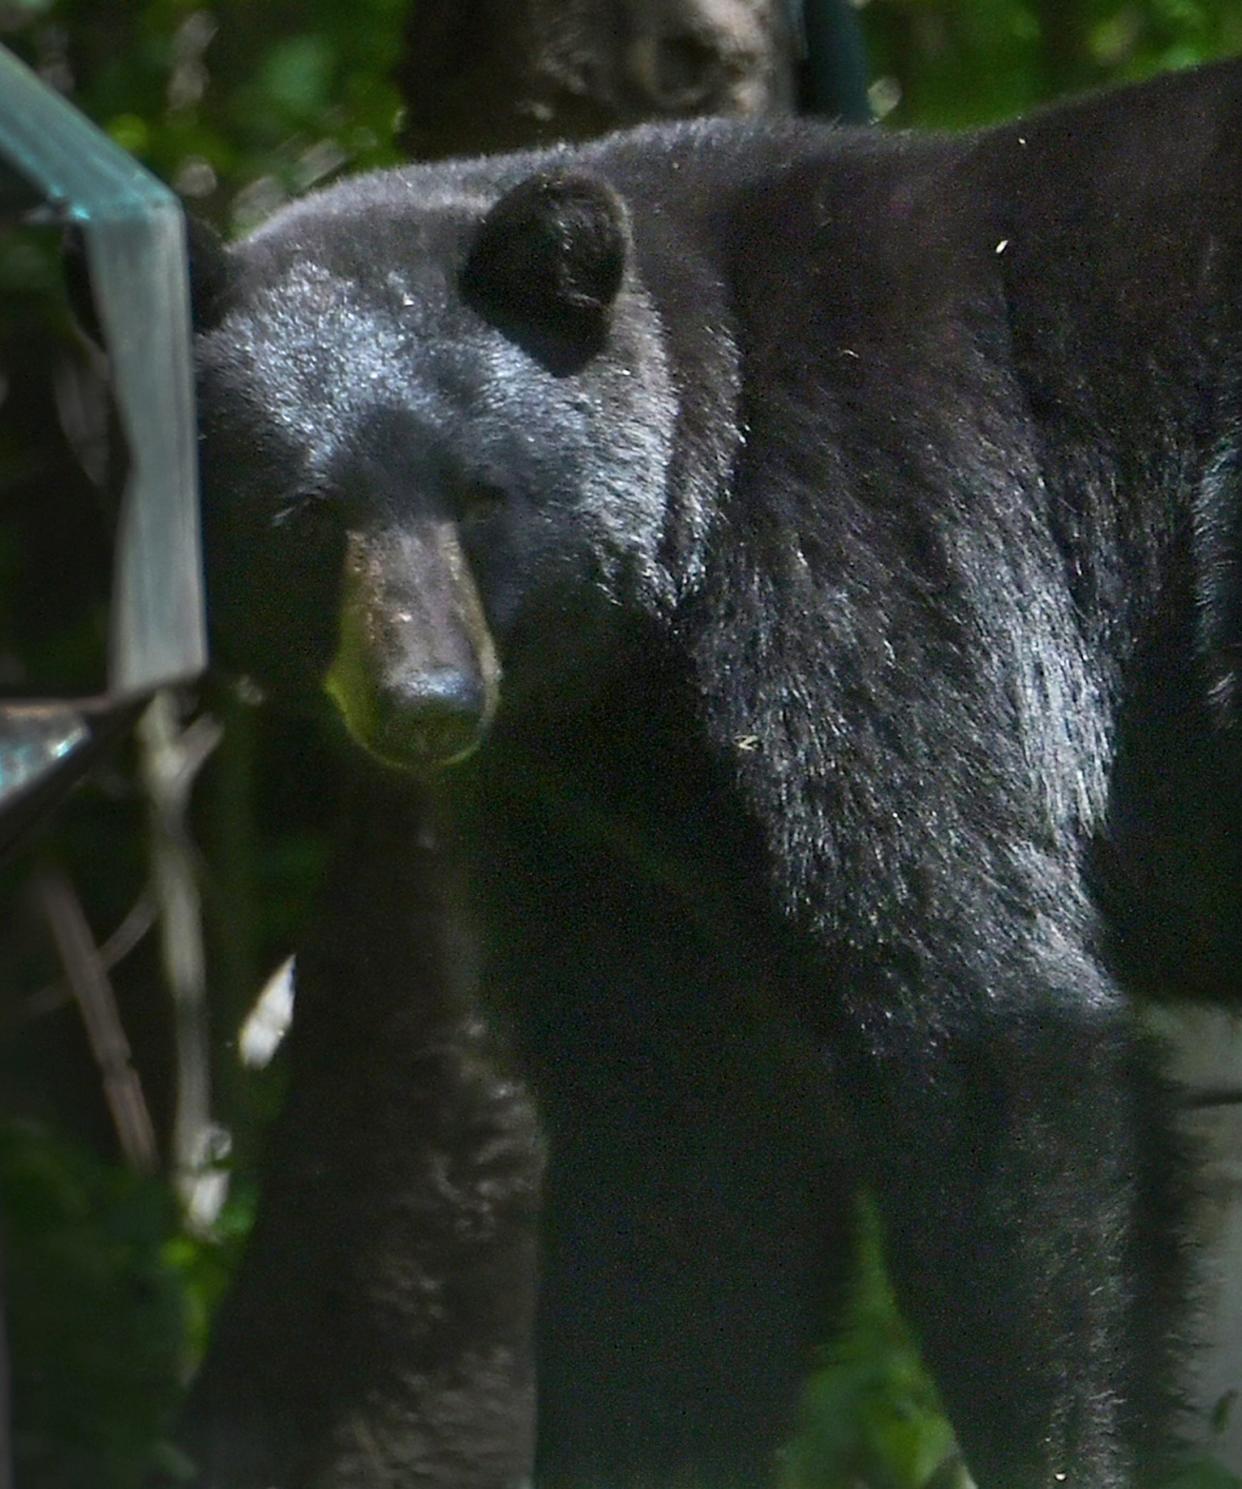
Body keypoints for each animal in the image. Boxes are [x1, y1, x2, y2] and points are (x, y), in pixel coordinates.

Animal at [186, 58, 1242, 1489]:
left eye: (481, 495)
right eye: (307, 517)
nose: (428, 703)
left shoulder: (878, 572)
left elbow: (986, 1021)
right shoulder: (598, 826)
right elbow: (676, 1169)